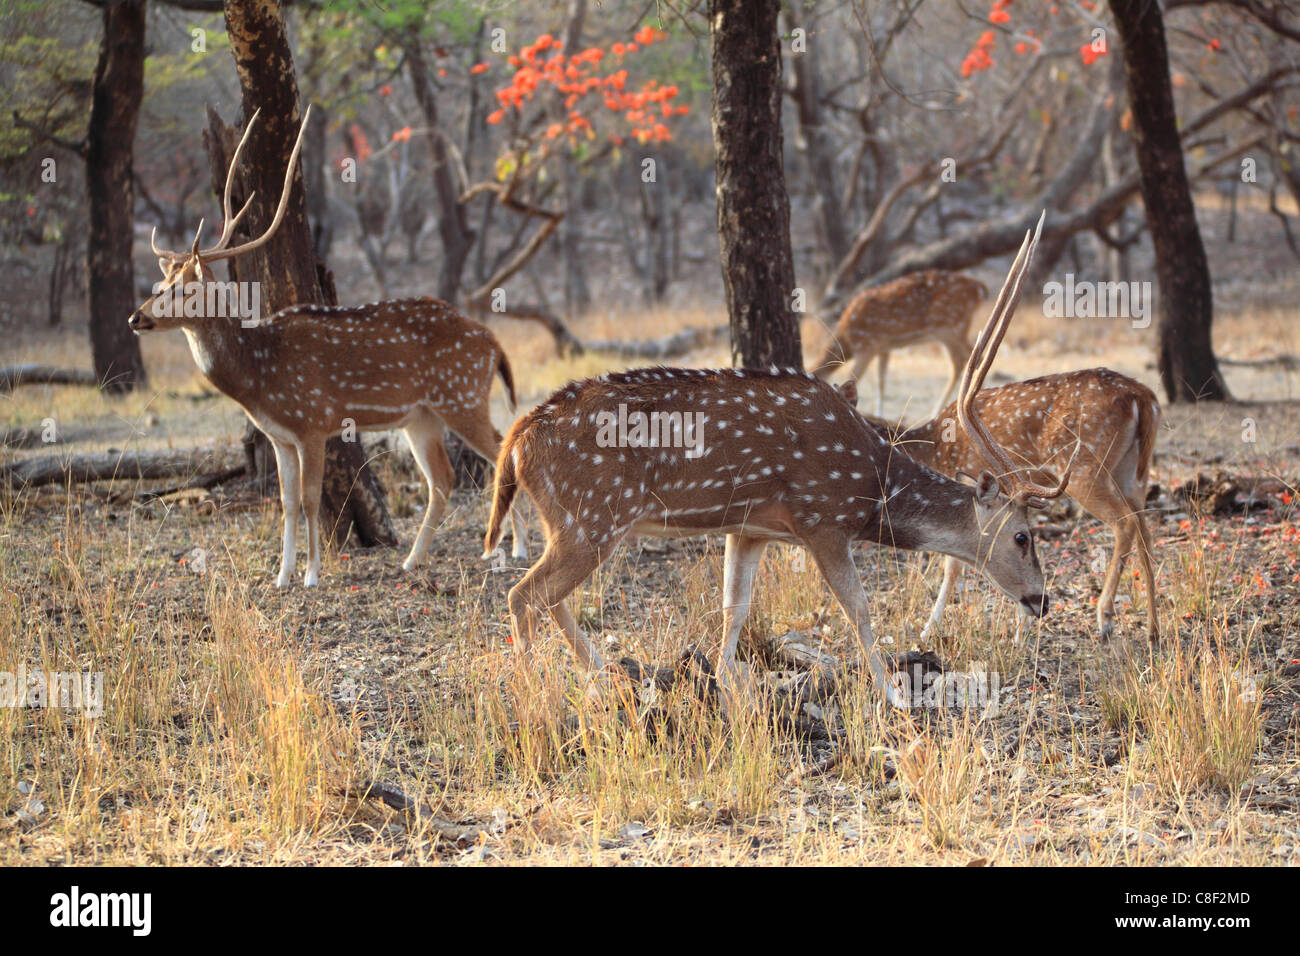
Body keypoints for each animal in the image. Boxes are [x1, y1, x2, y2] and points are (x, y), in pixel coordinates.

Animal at [125, 104, 522, 582]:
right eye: (160, 283)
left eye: (182, 290)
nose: (135, 317)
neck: (259, 376)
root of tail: (494, 342)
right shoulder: (279, 436)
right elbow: (286, 501)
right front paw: (281, 576)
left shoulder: (312, 422)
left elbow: (311, 499)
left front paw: (312, 574)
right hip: (421, 415)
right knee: (442, 479)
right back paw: (413, 559)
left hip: (461, 396)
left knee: (500, 451)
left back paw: (514, 549)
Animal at [811, 269, 982, 418]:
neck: (847, 339)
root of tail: (980, 289)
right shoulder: (883, 348)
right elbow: (881, 381)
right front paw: (879, 413)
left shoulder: (867, 346)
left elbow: (854, 377)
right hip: (949, 333)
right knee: (958, 363)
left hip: (952, 328)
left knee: (971, 358)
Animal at [878, 366, 1164, 642]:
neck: (933, 451)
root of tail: (1143, 397)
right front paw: (1022, 625)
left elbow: (955, 563)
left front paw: (928, 631)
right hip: (1131, 472)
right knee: (1145, 530)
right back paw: (1152, 631)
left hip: (1085, 471)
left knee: (1125, 522)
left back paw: (1105, 619)